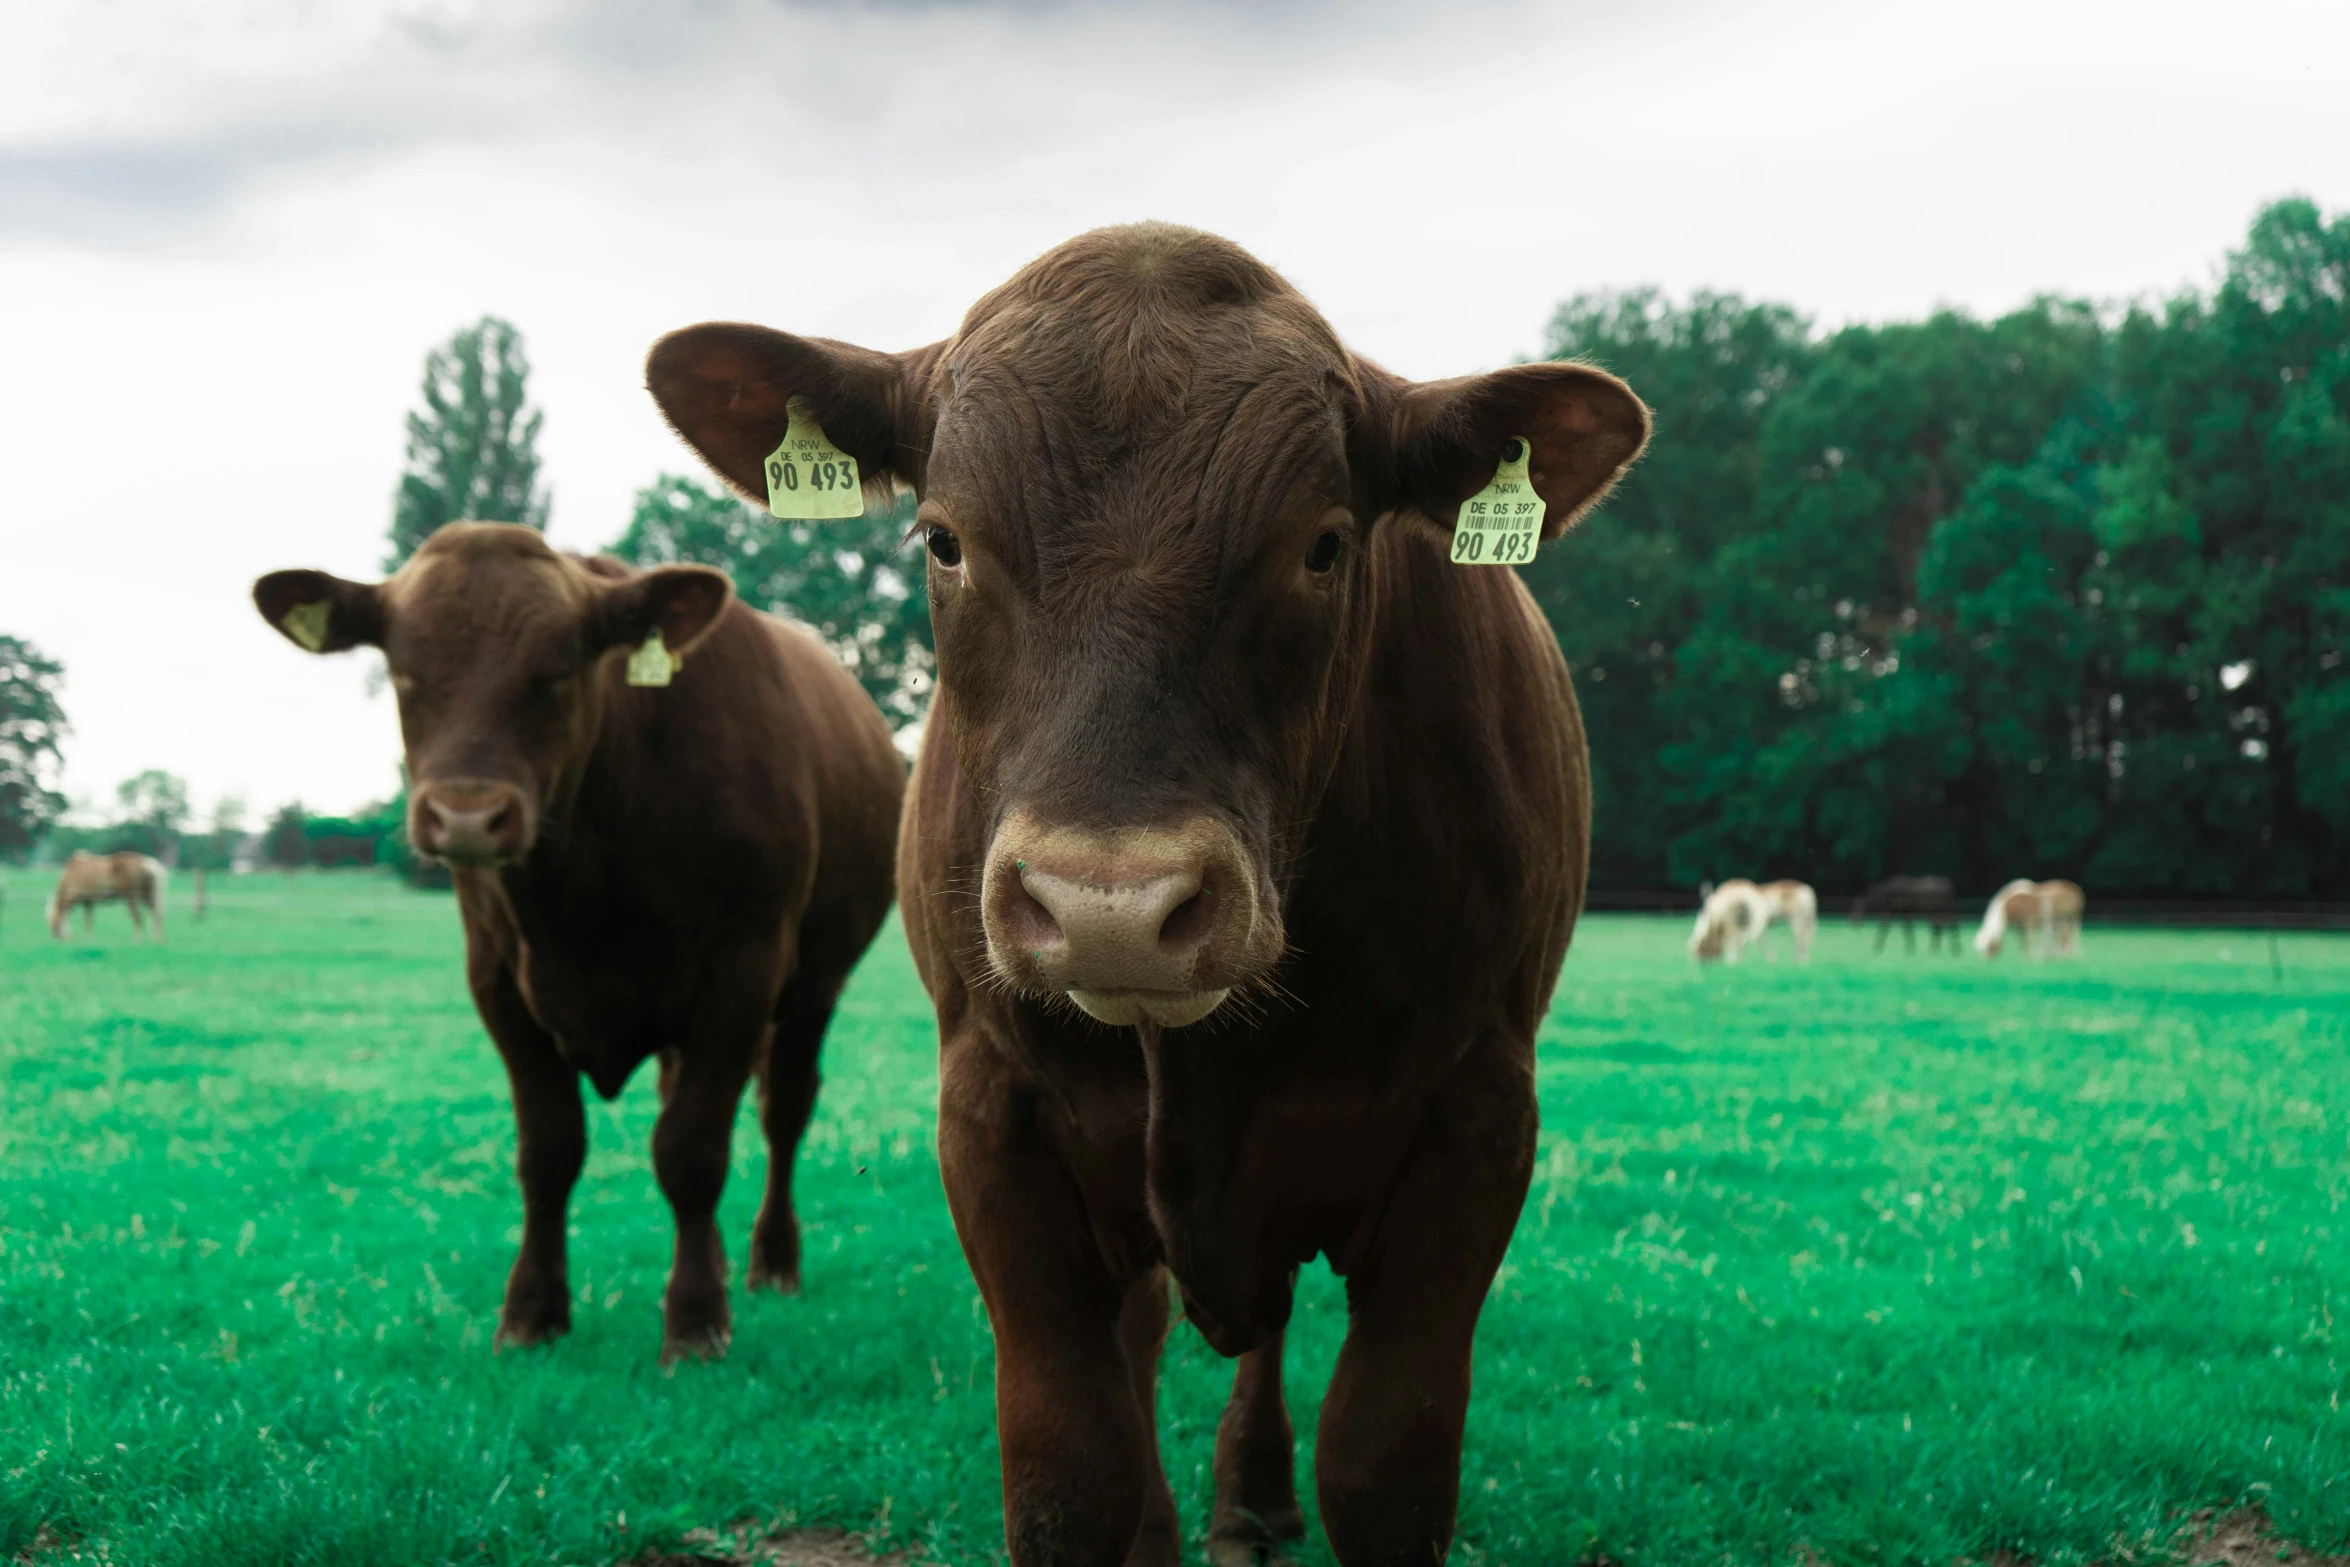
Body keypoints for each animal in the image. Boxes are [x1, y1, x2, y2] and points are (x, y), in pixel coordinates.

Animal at [254, 526, 897, 1362]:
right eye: (403, 669)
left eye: (560, 671)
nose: (467, 816)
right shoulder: (499, 981)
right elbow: (549, 1150)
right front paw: (532, 1311)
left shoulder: (743, 975)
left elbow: (692, 1150)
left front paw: (695, 1321)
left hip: (817, 985)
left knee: (782, 1108)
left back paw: (770, 1262)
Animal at [648, 223, 1654, 1567]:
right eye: (944, 539)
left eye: (1324, 544)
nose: (1109, 908)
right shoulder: (995, 1118)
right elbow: (1072, 1464)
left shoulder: (1476, 1117)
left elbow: (1384, 1460)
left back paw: (1252, 1492)